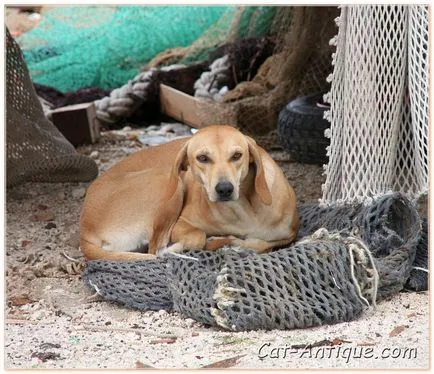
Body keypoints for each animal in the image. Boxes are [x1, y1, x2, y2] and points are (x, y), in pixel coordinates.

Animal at [79, 125, 300, 260]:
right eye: (202, 158)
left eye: (237, 155)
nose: (224, 189)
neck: (244, 210)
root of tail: (85, 230)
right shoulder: (182, 223)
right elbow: (198, 236)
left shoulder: (288, 233)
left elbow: (262, 243)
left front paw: (237, 244)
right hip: (168, 181)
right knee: (155, 248)